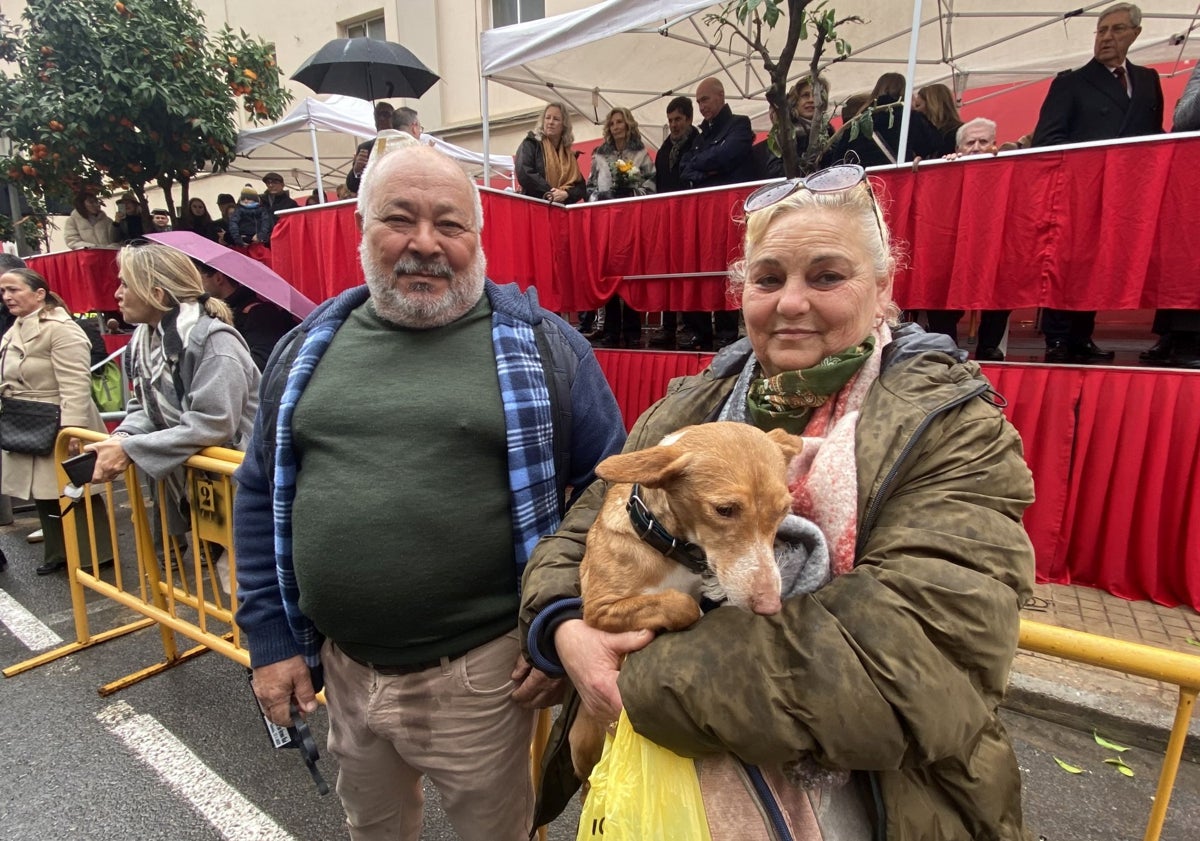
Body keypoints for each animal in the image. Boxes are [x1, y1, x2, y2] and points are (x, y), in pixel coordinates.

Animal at [573, 422, 806, 782]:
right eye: (724, 510)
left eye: (783, 510)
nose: (770, 605)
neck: (667, 545)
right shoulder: (599, 609)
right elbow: (680, 604)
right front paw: (691, 609)